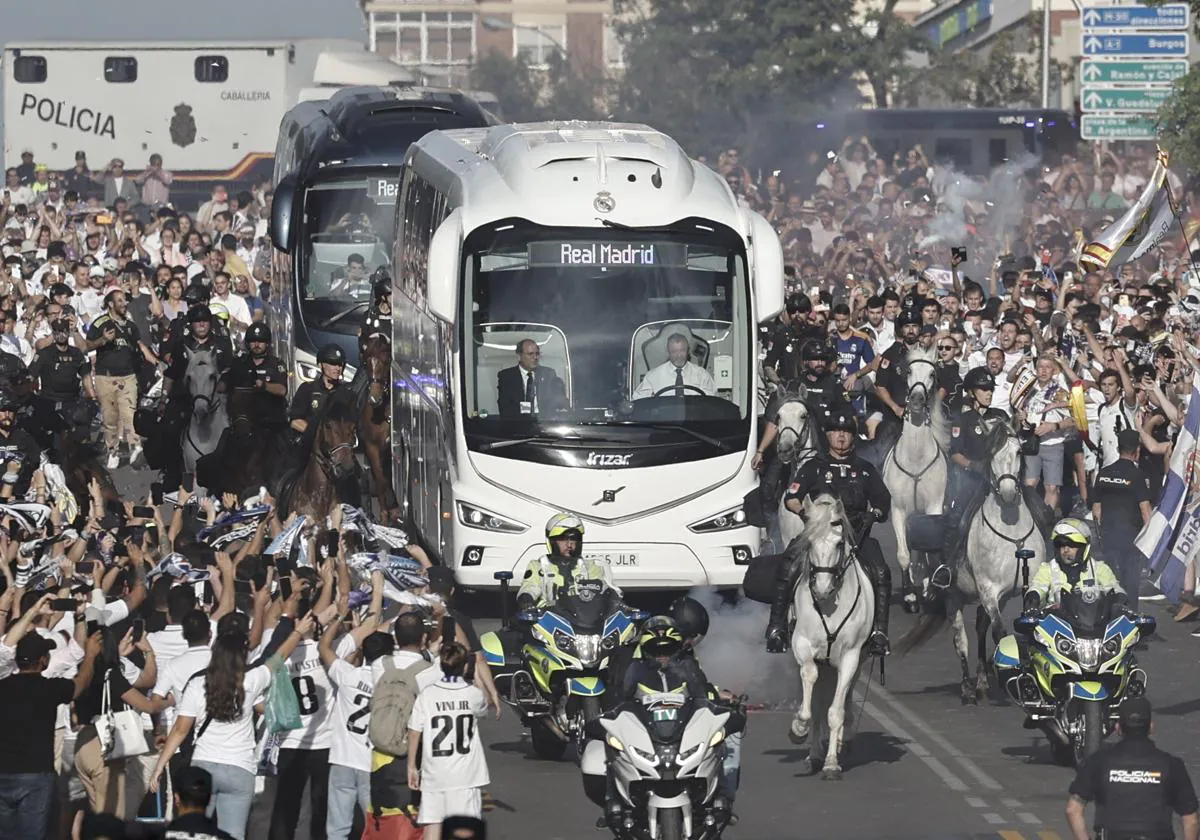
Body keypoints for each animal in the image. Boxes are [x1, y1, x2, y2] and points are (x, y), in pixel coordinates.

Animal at [787, 492, 873, 782]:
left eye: (838, 543)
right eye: (809, 541)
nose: (822, 589)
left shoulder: (851, 657)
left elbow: (836, 711)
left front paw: (832, 763)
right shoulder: (801, 646)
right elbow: (811, 689)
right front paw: (799, 727)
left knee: (842, 699)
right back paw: (813, 753)